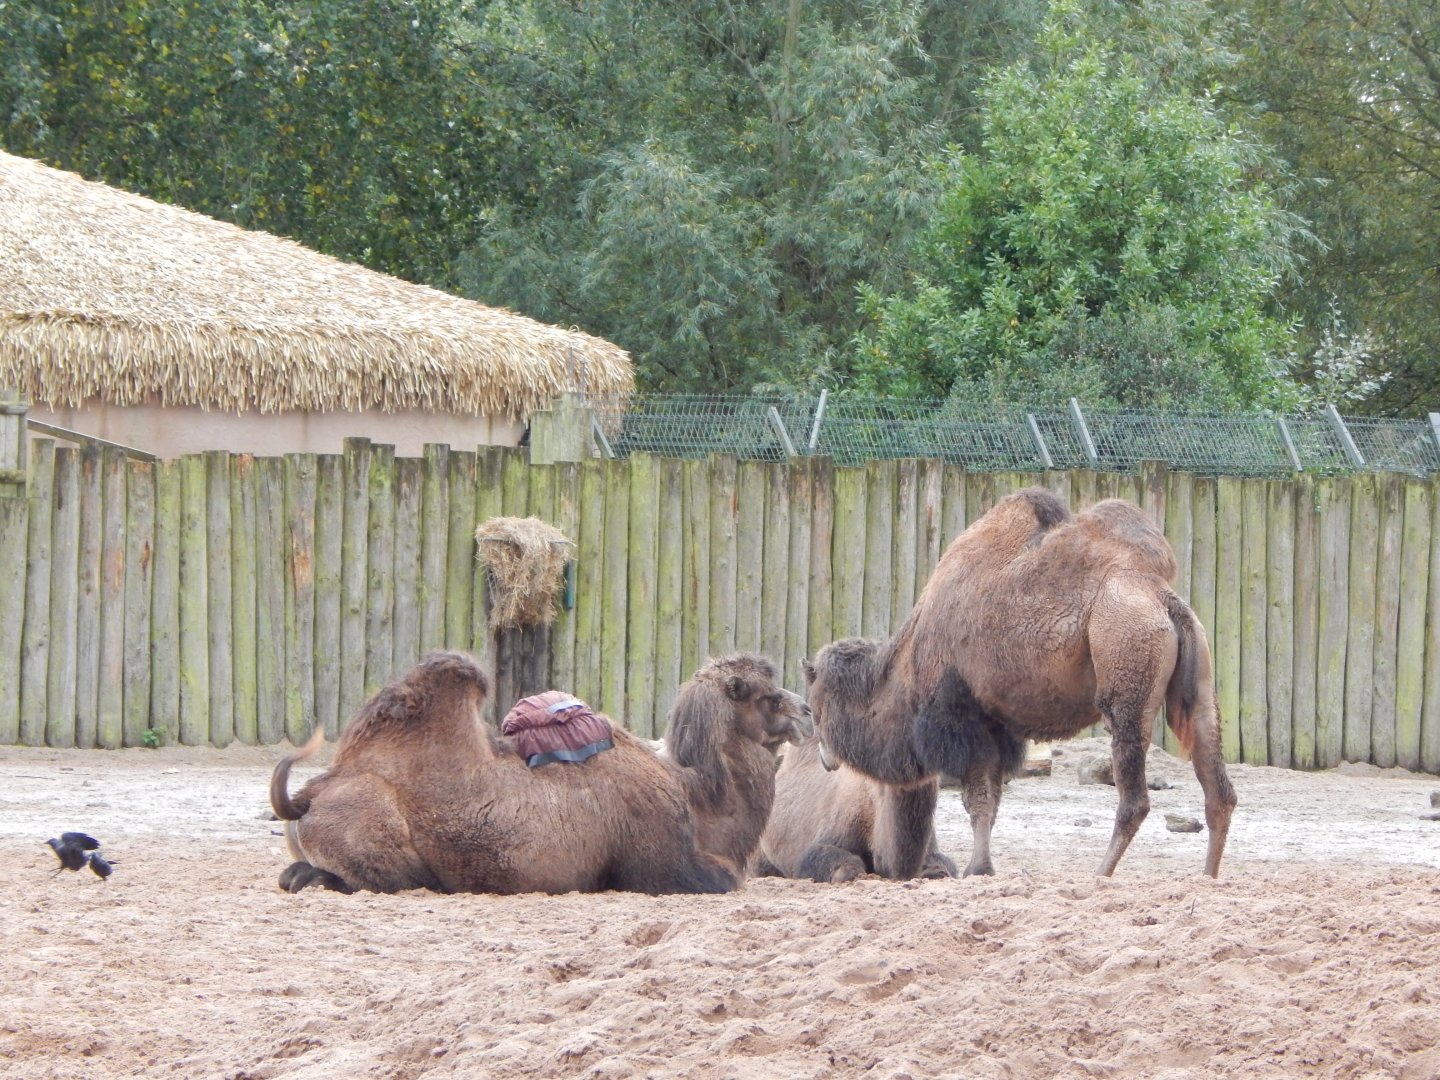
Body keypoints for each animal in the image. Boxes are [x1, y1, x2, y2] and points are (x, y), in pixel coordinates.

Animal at [804, 487, 1237, 879]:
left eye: (815, 708)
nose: (825, 760)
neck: (906, 667)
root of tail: (1162, 599)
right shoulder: (999, 727)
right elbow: (992, 801)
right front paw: (981, 866)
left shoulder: (965, 719)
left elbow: (977, 801)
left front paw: (977, 869)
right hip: (1200, 682)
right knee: (1219, 789)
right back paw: (1208, 877)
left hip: (1126, 671)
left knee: (1135, 797)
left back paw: (1100, 874)